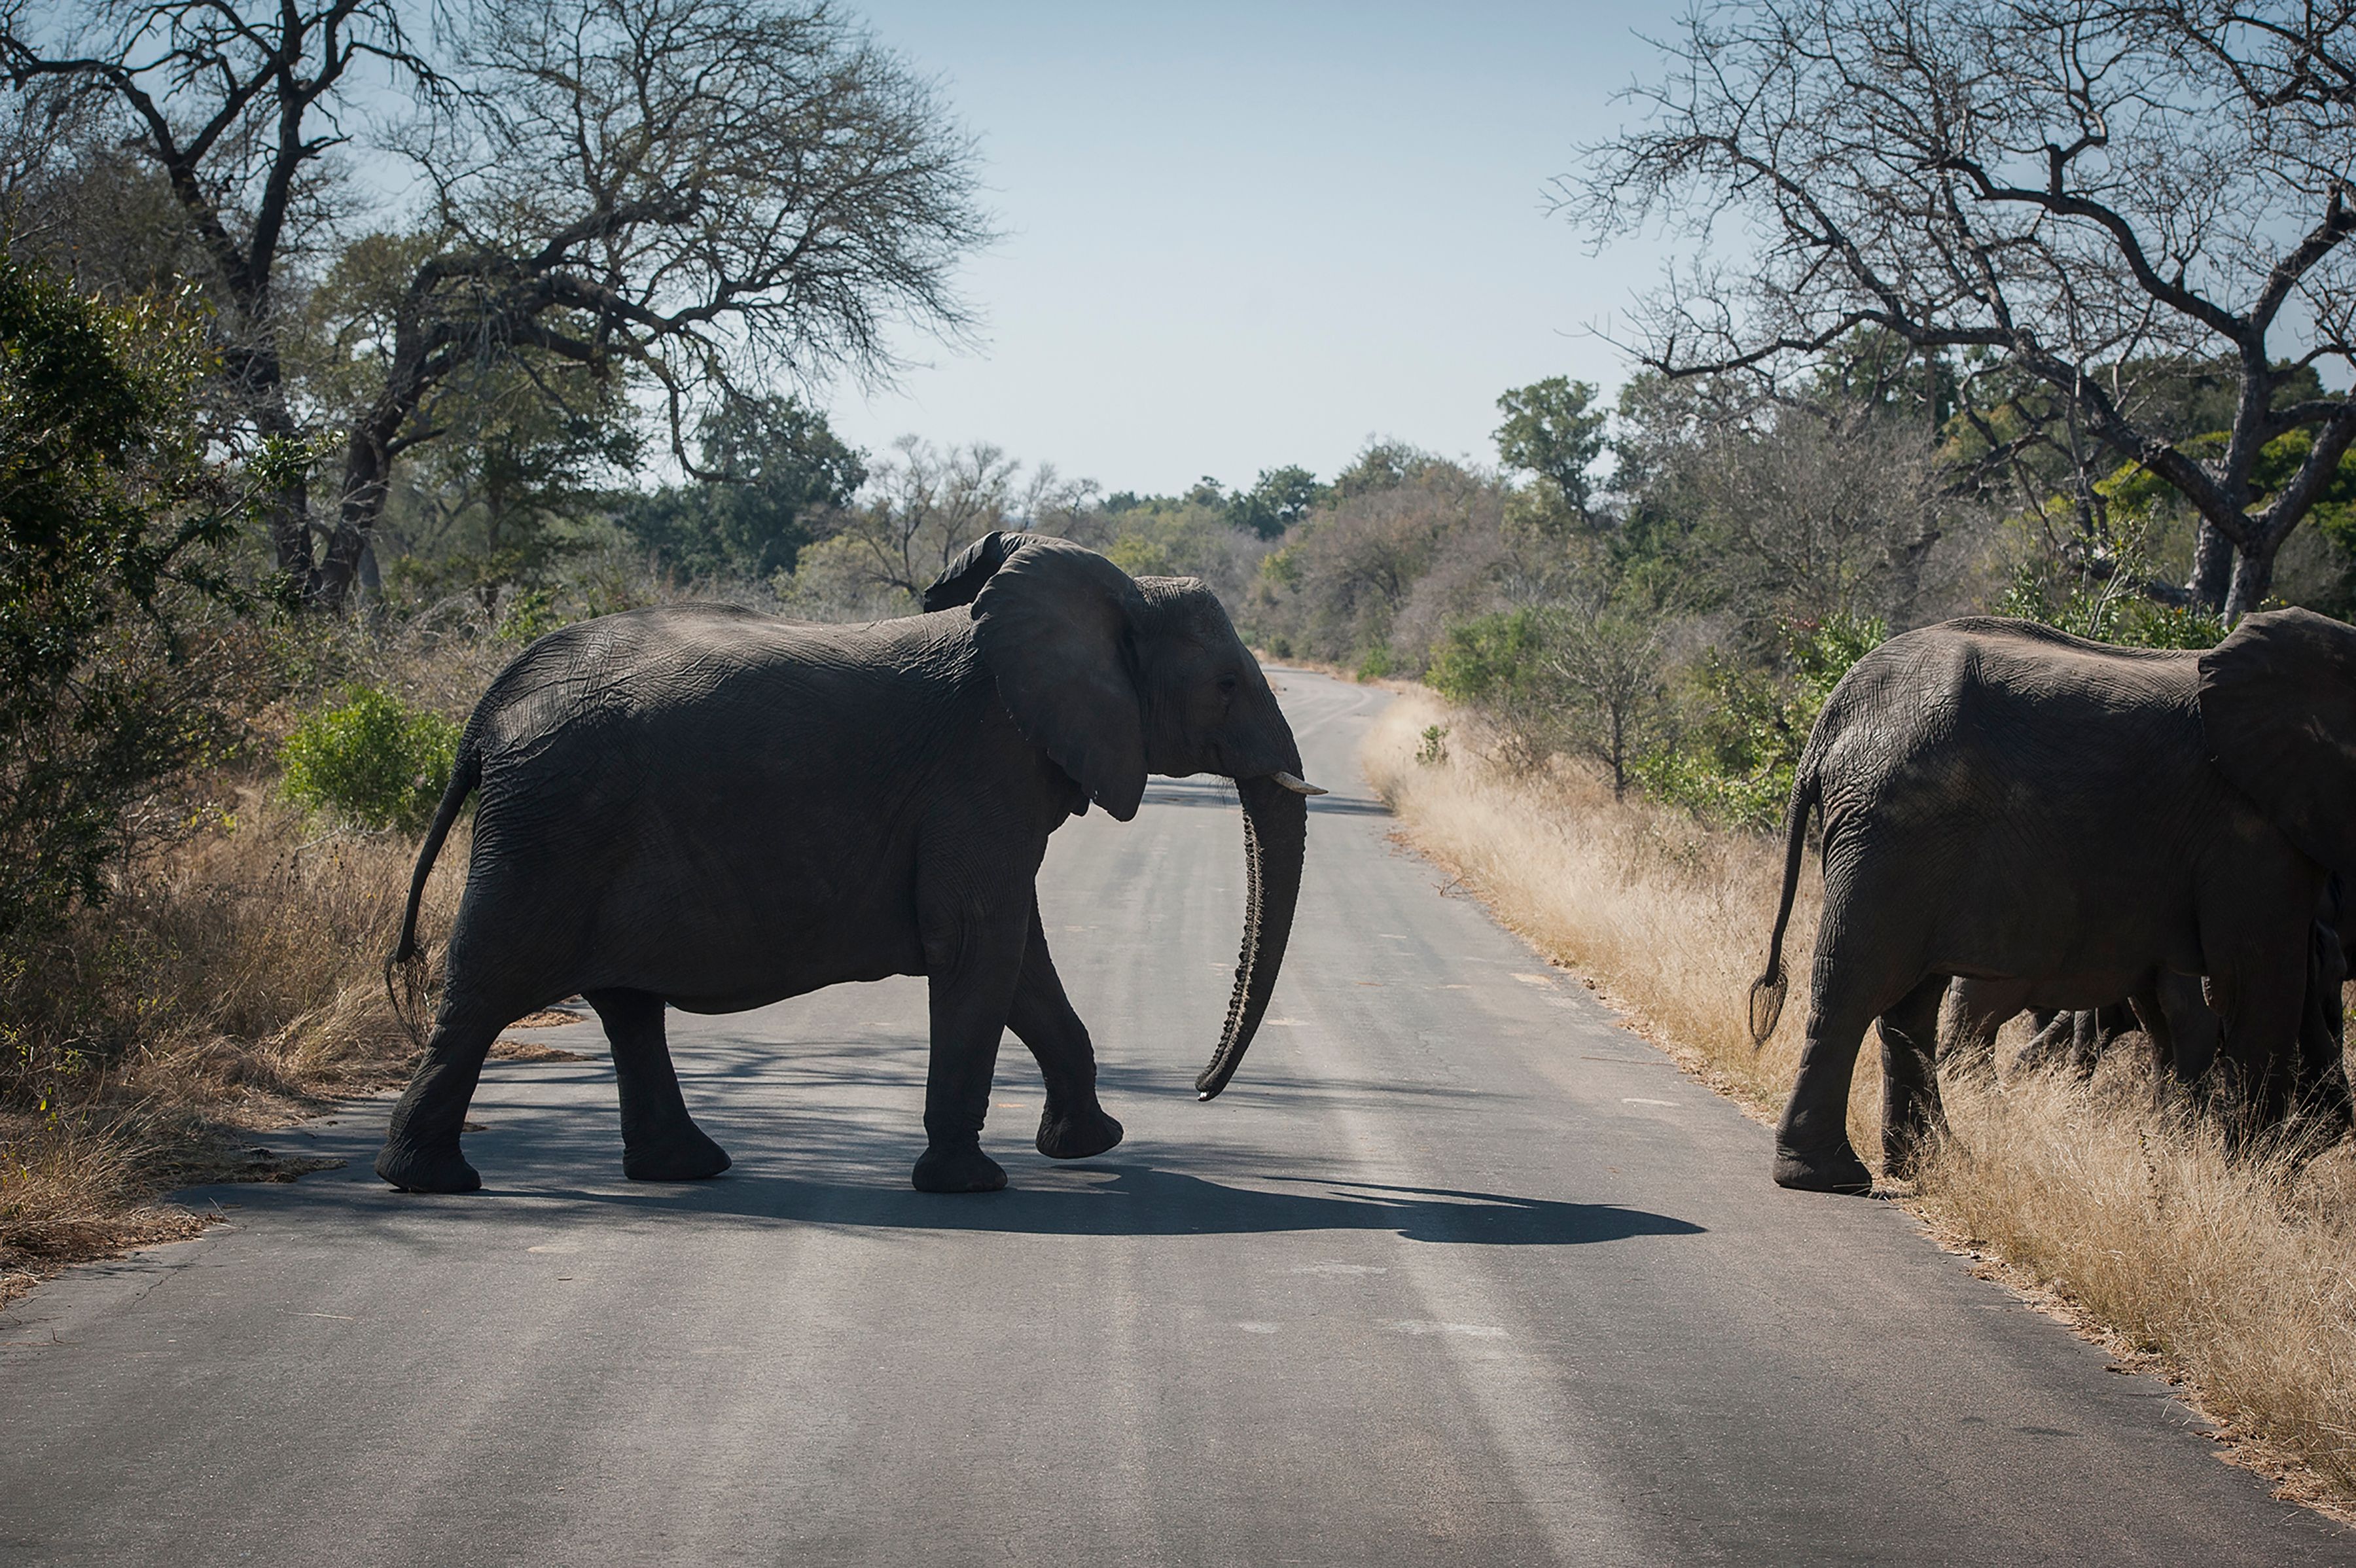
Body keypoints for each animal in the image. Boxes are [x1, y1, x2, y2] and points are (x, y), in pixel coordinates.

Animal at [373, 531, 1324, 1196]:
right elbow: (980, 942)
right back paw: (433, 1181)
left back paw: (686, 1167)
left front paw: (1091, 1144)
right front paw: (971, 1186)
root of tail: (487, 712)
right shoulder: (983, 766)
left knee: (627, 1005)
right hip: (550, 827)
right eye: (1229, 685)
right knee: (487, 990)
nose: (1200, 1091)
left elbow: (1021, 956)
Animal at [1748, 608, 2356, 1195]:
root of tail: (1834, 715)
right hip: (1891, 827)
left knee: (1909, 1004)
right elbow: (2258, 987)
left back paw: (1933, 1165)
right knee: (1858, 983)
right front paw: (2254, 1189)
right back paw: (1831, 1177)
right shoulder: (2253, 829)